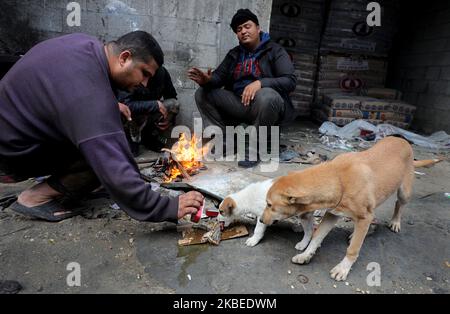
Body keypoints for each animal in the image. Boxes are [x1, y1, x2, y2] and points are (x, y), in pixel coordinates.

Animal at [262, 136, 442, 280]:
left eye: (270, 205)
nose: (261, 220)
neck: (338, 178)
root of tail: (402, 140)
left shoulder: (364, 217)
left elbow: (353, 249)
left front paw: (343, 268)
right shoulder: (332, 214)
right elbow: (317, 236)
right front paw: (306, 254)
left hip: (404, 191)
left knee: (399, 204)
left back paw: (395, 222)